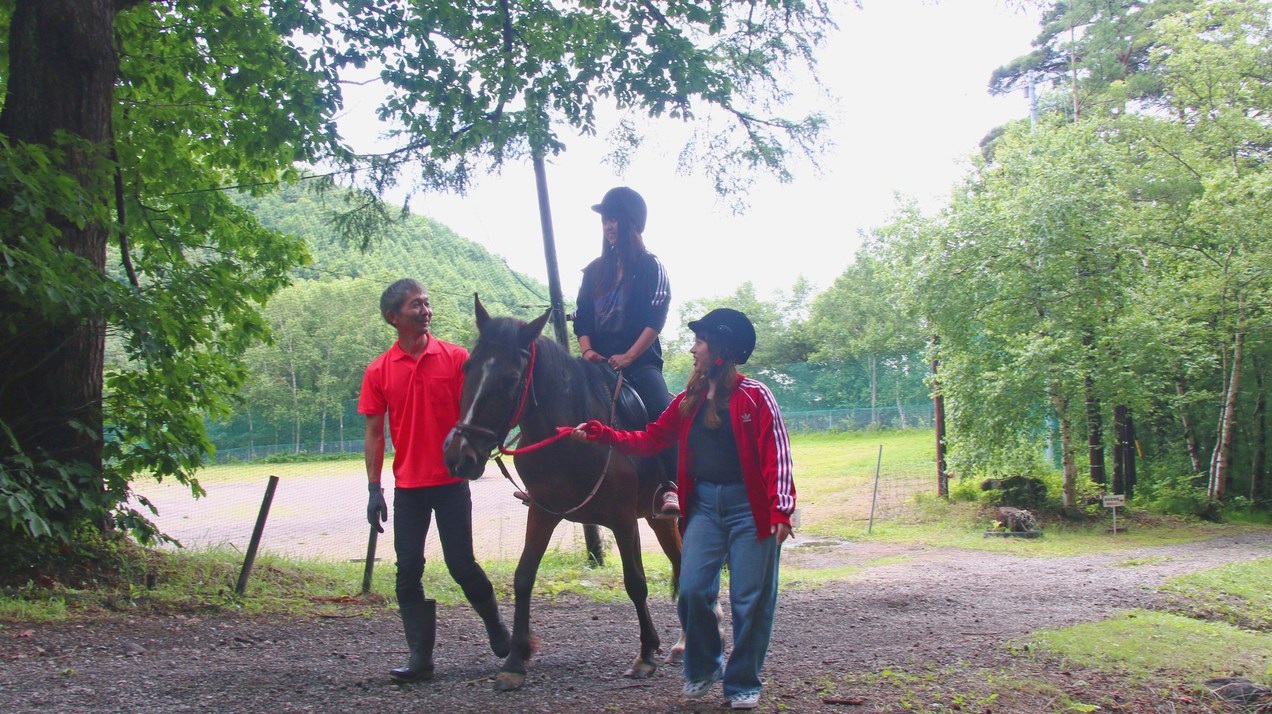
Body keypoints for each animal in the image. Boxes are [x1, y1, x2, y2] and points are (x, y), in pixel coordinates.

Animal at [447, 296, 686, 692]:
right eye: (468, 368)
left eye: (511, 379)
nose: (458, 457)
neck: (570, 439)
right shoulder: (543, 513)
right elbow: (523, 576)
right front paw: (515, 660)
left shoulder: (623, 520)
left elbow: (635, 583)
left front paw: (645, 654)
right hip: (658, 519)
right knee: (683, 565)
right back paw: (684, 644)